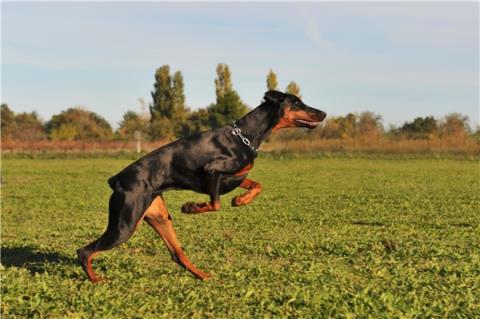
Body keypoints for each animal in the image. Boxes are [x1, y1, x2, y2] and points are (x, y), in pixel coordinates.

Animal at [78, 90, 326, 282]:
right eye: (297, 102)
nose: (323, 113)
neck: (245, 136)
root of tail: (117, 180)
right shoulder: (212, 171)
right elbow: (215, 204)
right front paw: (191, 207)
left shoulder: (235, 176)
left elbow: (257, 185)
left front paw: (240, 200)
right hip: (125, 225)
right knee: (84, 251)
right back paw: (96, 280)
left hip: (158, 217)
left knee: (177, 254)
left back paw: (203, 275)